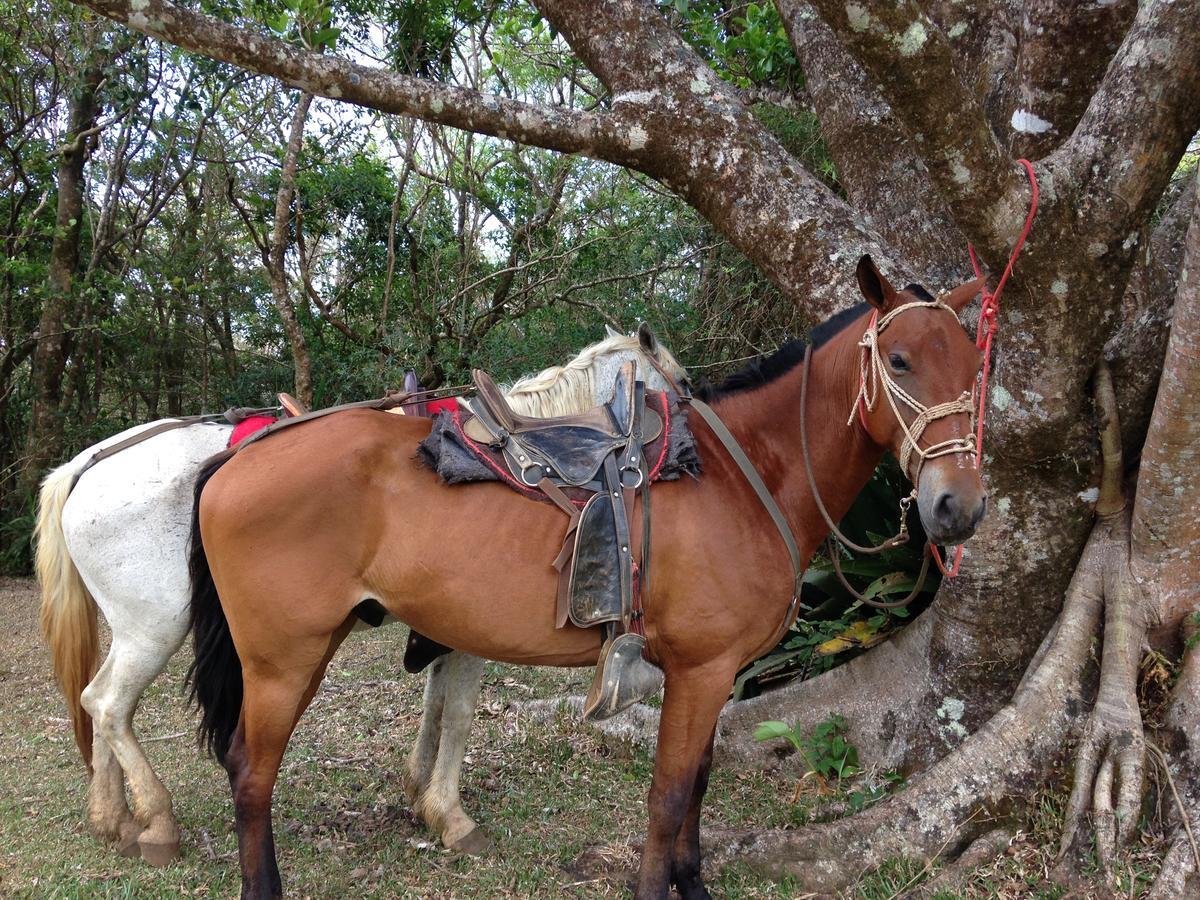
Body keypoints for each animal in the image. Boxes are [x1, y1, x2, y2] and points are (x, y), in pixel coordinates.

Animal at [35, 326, 686, 868]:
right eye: (677, 386)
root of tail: (86, 464)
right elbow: (458, 712)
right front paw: (449, 813)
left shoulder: (444, 622)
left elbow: (434, 703)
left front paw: (420, 790)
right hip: (156, 627)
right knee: (110, 705)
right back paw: (157, 819)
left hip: (134, 631)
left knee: (100, 703)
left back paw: (115, 819)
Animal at [192, 255, 988, 900]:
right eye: (900, 360)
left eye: (975, 369)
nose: (957, 506)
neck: (742, 477)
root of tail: (237, 456)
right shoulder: (699, 671)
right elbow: (669, 798)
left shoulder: (716, 673)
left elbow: (695, 789)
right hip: (283, 660)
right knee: (252, 772)